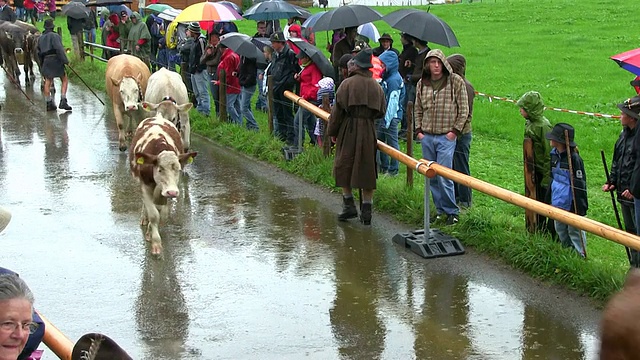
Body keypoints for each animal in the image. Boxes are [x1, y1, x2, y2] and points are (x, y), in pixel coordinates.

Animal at [128, 111, 196, 255]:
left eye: (178, 169)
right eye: (160, 169)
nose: (172, 192)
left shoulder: (167, 191)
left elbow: (162, 214)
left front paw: (150, 232)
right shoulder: (145, 186)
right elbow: (154, 215)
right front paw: (156, 244)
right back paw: (144, 218)